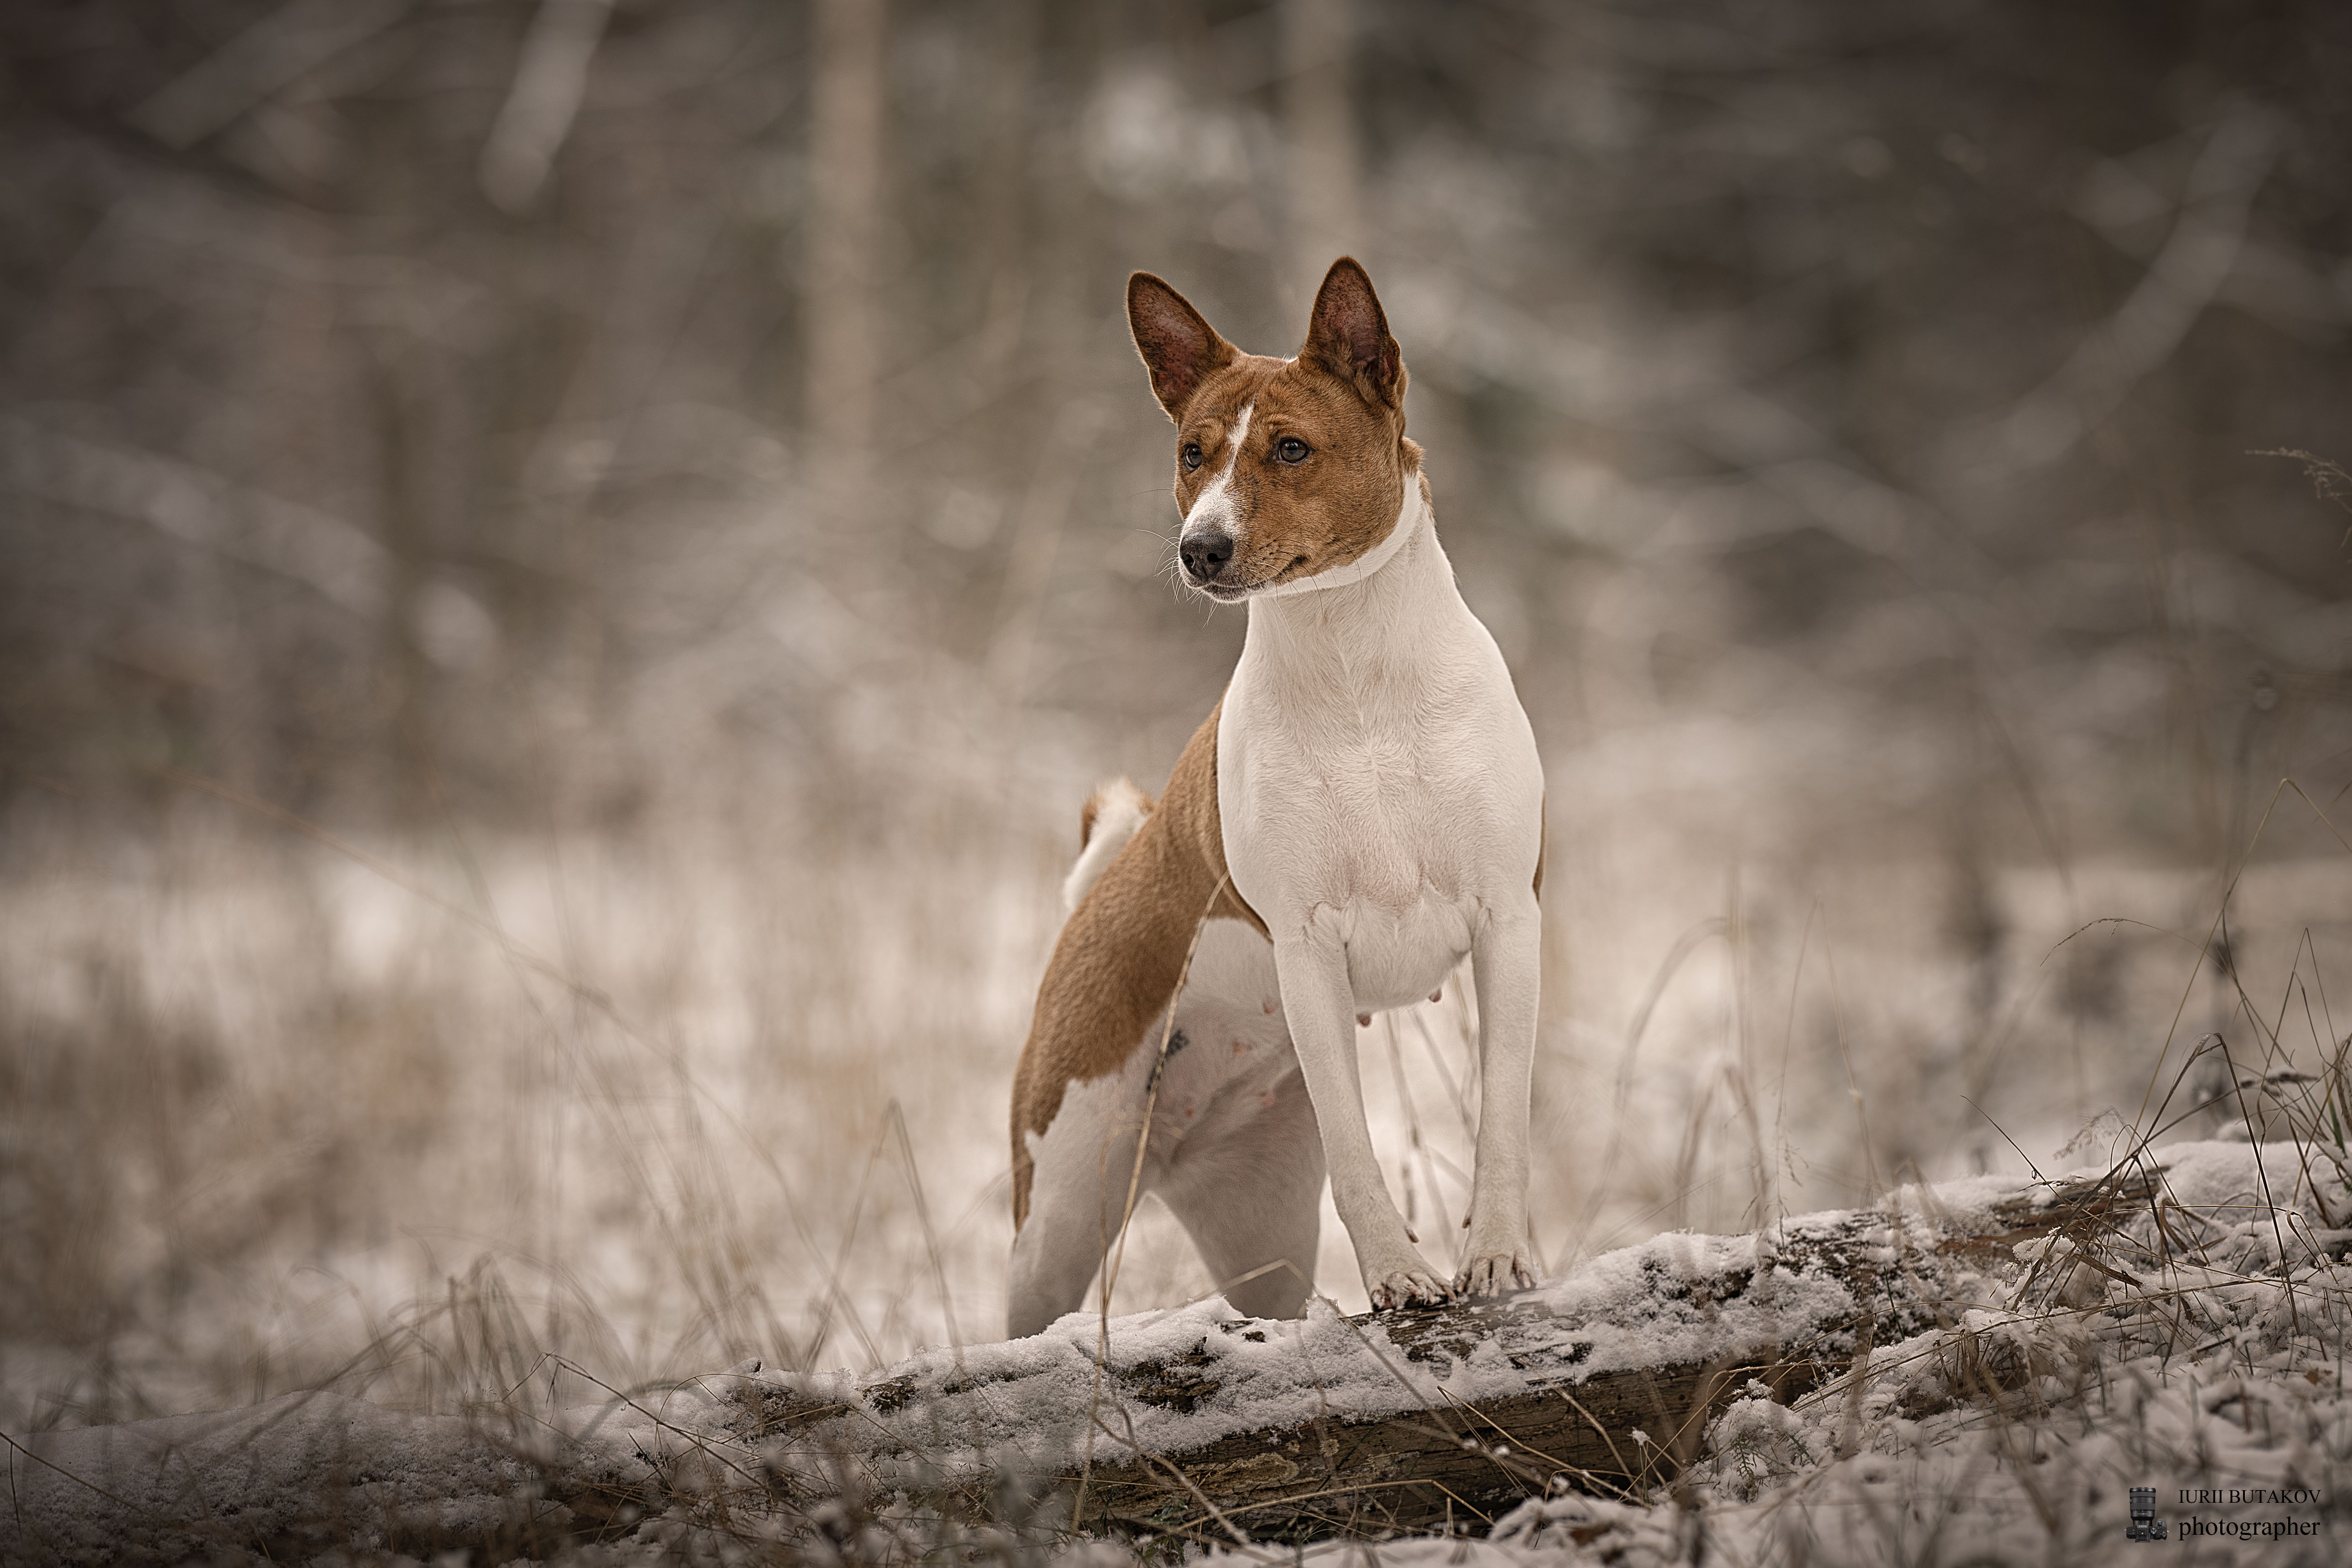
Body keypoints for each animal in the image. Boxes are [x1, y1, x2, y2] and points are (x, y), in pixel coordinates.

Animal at [1007, 257, 1543, 1335]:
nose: (1198, 548)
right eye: (1191, 454)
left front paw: (1496, 1258)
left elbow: (1499, 1118)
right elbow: (1355, 1146)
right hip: (1057, 1211)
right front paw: (1398, 1277)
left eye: (1291, 449)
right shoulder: (1305, 945)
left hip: (1256, 1228)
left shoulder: (1508, 919)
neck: (1352, 667)